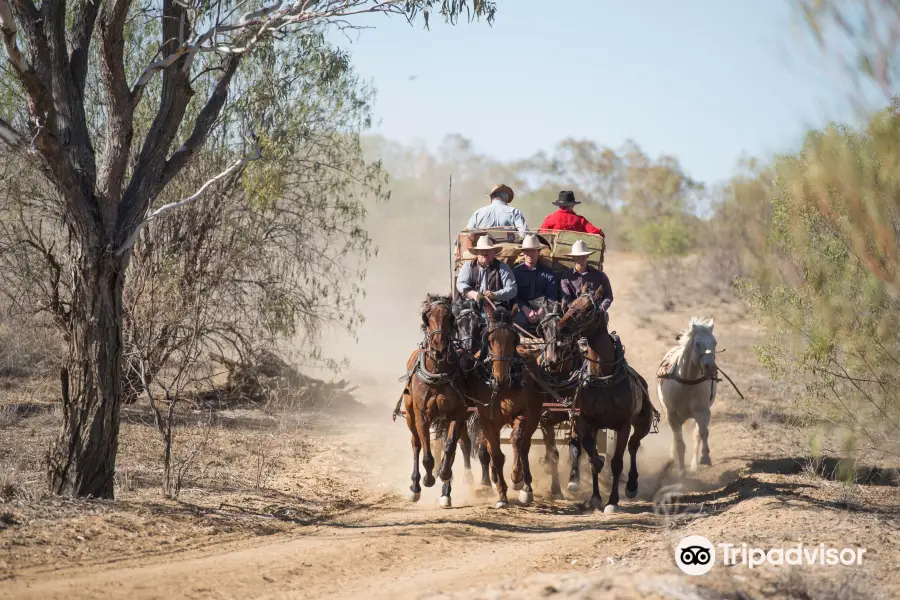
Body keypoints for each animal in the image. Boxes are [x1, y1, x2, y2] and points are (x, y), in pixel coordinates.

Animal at [402, 294, 468, 506]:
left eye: (450, 317)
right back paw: (415, 486)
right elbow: (427, 453)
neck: (438, 373)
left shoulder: (458, 414)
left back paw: (446, 492)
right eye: (427, 317)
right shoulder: (422, 415)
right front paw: (428, 479)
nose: (439, 347)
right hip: (410, 415)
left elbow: (450, 447)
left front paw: (444, 475)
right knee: (415, 444)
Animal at [464, 304, 540, 506]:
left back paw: (526, 486)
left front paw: (516, 477)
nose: (501, 378)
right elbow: (495, 455)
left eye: (513, 339)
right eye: (490, 340)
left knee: (525, 445)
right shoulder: (486, 420)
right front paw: (502, 494)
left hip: (536, 414)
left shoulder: (523, 413)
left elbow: (517, 440)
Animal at [556, 288, 652, 512]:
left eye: (587, 308)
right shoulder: (585, 422)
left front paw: (613, 501)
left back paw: (632, 485)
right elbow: (592, 457)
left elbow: (616, 462)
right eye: (571, 304)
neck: (603, 377)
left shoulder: (623, 425)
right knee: (578, 445)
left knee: (634, 445)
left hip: (643, 423)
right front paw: (595, 497)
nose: (560, 327)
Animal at [652, 316, 716, 476]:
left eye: (714, 342)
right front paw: (681, 471)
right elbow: (680, 443)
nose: (710, 367)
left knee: (695, 434)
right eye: (697, 344)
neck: (687, 383)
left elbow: (702, 433)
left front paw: (704, 458)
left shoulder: (702, 411)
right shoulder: (672, 414)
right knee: (676, 437)